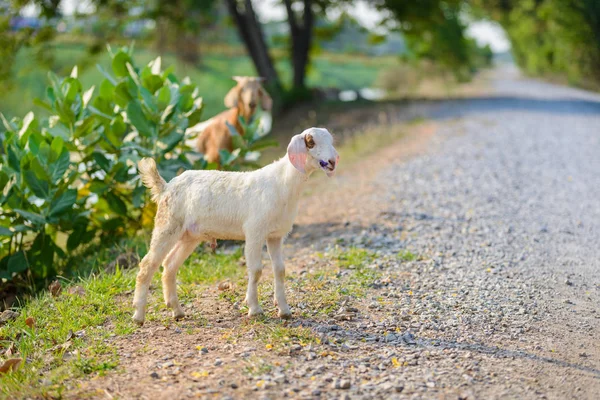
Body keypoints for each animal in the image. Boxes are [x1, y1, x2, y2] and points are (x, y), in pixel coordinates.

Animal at [131, 128, 338, 324]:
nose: (332, 161)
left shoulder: (276, 235)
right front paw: (254, 309)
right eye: (311, 142)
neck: (282, 183)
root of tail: (165, 187)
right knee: (147, 265)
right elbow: (256, 270)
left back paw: (177, 311)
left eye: (330, 140)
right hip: (167, 224)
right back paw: (139, 316)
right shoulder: (254, 232)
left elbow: (280, 270)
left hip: (189, 235)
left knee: (169, 265)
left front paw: (284, 310)